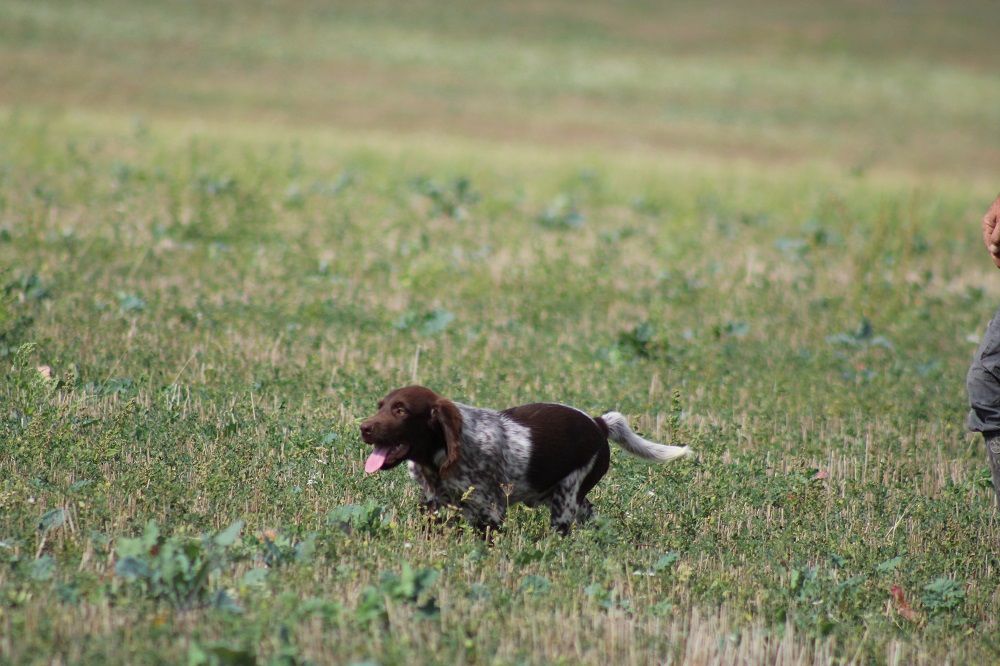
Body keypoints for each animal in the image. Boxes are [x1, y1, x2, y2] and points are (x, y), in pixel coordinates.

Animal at [360, 386, 696, 532]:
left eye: (400, 410)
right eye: (380, 406)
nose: (363, 428)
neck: (439, 458)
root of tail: (599, 423)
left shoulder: (490, 512)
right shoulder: (433, 507)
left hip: (565, 499)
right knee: (590, 513)